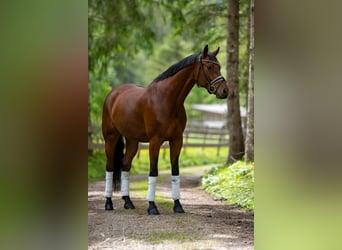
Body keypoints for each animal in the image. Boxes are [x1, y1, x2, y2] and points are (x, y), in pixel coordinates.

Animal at [103, 45, 228, 215]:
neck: (168, 100)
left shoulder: (177, 140)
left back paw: (128, 202)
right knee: (109, 166)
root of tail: (113, 94)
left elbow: (175, 171)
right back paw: (108, 203)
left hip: (132, 141)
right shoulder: (155, 141)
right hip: (111, 138)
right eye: (209, 67)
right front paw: (152, 206)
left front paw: (178, 205)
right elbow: (153, 171)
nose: (225, 91)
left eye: (219, 67)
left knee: (125, 164)